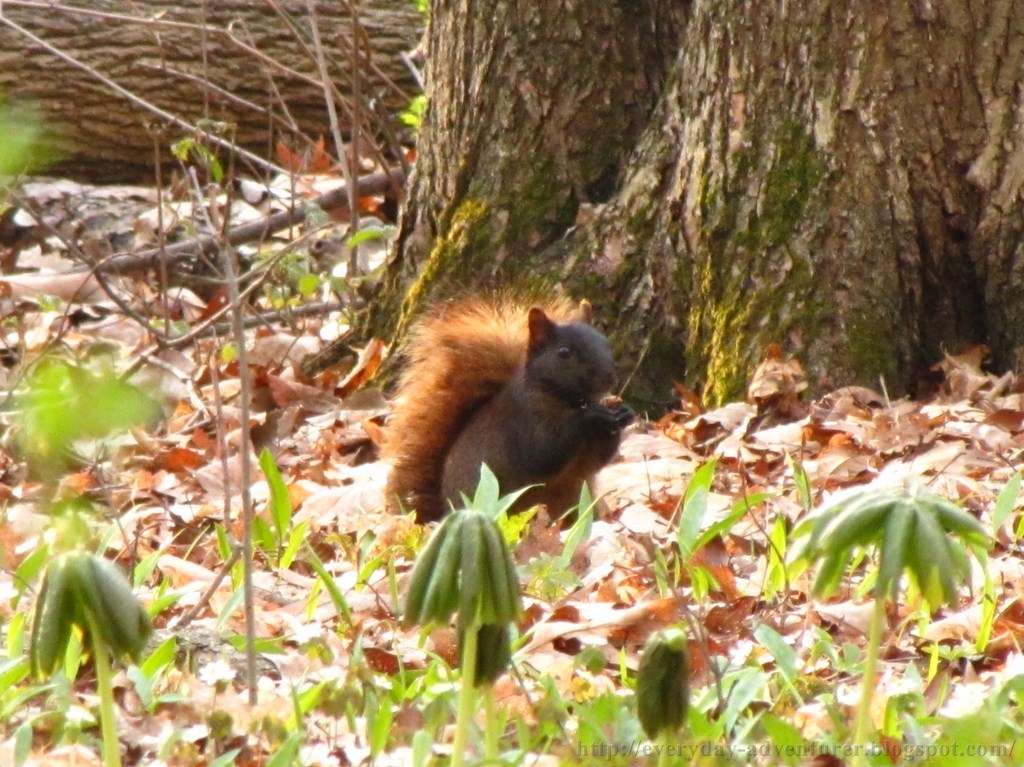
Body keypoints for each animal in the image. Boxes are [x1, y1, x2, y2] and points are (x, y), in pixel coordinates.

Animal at [384, 295, 634, 522]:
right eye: (564, 353)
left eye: (606, 343)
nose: (609, 377)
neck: (569, 400)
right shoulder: (525, 419)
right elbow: (544, 453)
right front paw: (592, 415)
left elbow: (598, 459)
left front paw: (622, 411)